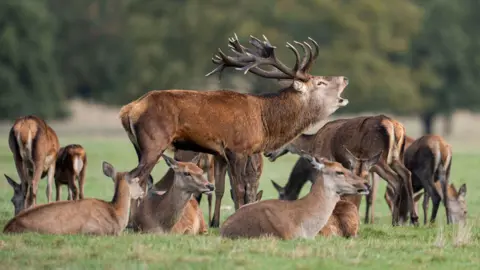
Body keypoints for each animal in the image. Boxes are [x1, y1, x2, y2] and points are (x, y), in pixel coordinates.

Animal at [116, 33, 348, 205]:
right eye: (319, 82)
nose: (344, 77)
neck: (265, 122)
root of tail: (128, 109)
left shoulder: (235, 153)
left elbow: (239, 190)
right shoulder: (237, 148)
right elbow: (239, 190)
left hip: (139, 147)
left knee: (139, 179)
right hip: (154, 142)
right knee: (135, 177)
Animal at [264, 114, 418, 226]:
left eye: (280, 138)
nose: (266, 152)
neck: (312, 145)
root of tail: (394, 126)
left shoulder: (325, 159)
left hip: (377, 159)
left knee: (395, 179)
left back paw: (395, 221)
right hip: (396, 157)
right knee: (406, 173)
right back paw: (413, 219)